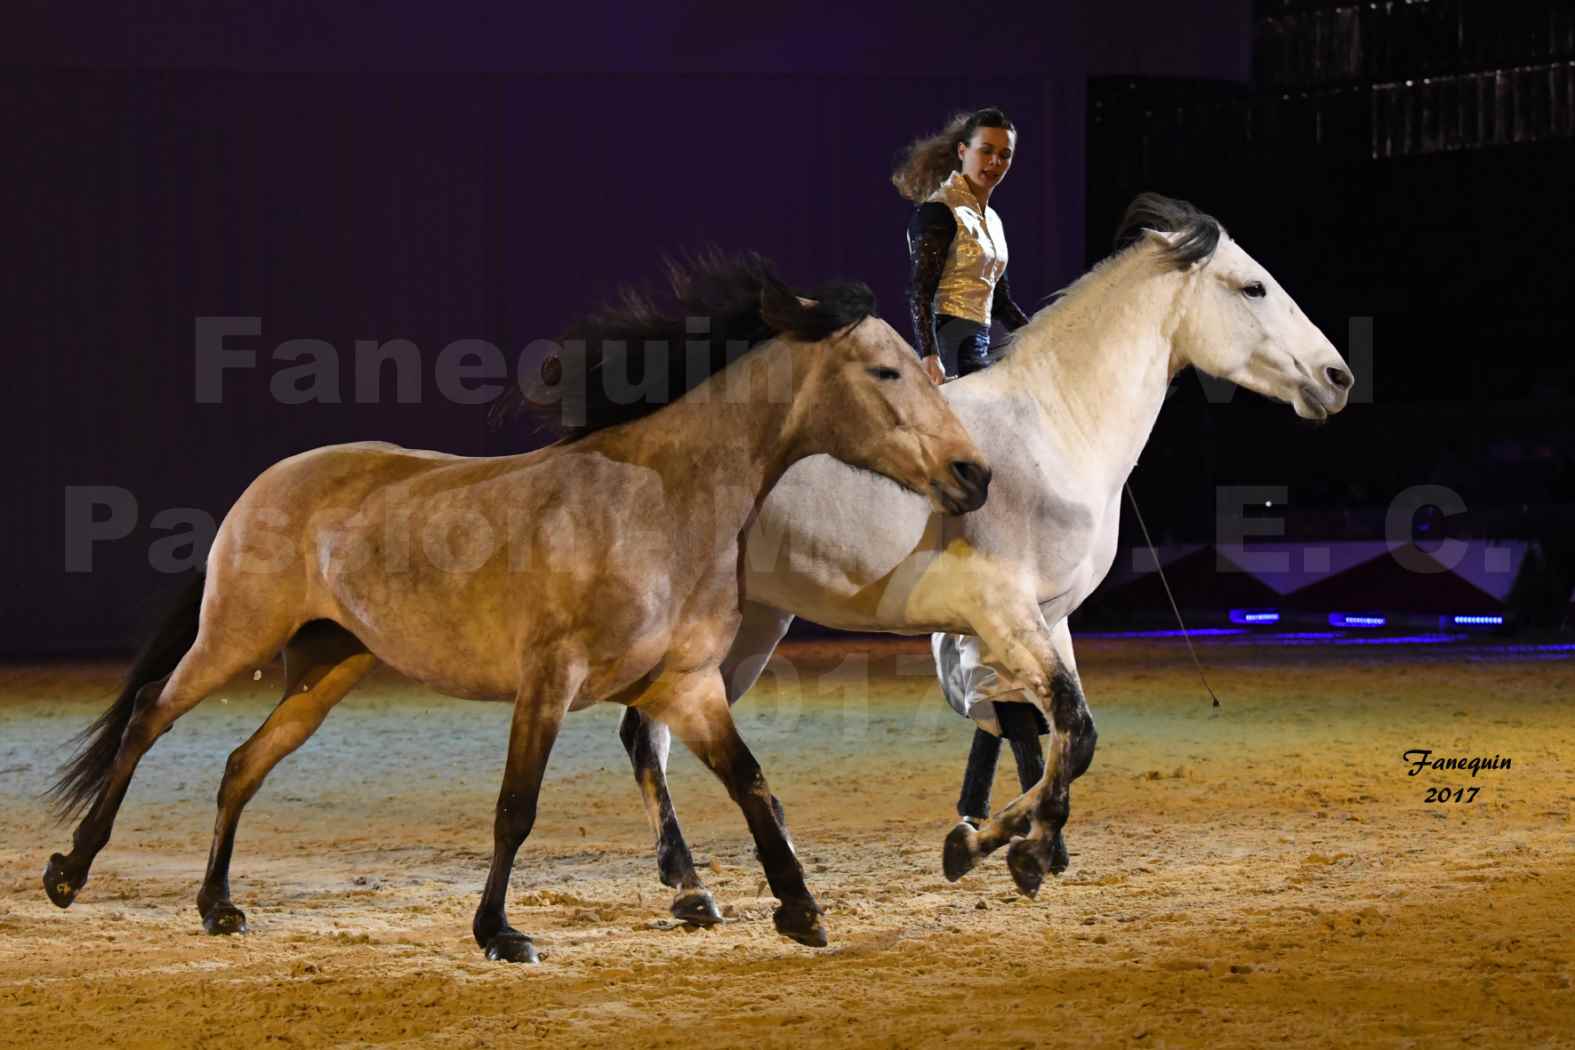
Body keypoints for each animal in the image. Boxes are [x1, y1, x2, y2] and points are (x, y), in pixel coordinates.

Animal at [46, 256, 982, 963]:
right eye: (885, 370)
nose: (973, 475)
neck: (657, 504)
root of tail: (265, 485)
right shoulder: (549, 680)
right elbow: (515, 808)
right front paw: (499, 934)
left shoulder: (687, 685)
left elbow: (751, 781)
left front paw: (799, 910)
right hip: (235, 638)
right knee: (148, 718)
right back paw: (70, 872)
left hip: (324, 669)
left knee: (242, 764)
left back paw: (217, 907)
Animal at [614, 192, 1354, 913]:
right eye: (1253, 287)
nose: (1337, 377)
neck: (1055, 424)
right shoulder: (998, 610)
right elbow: (1069, 727)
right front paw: (1019, 852)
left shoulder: (1048, 616)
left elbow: (1051, 732)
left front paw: (995, 844)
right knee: (645, 730)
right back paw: (694, 886)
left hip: (754, 624)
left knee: (649, 727)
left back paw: (699, 881)